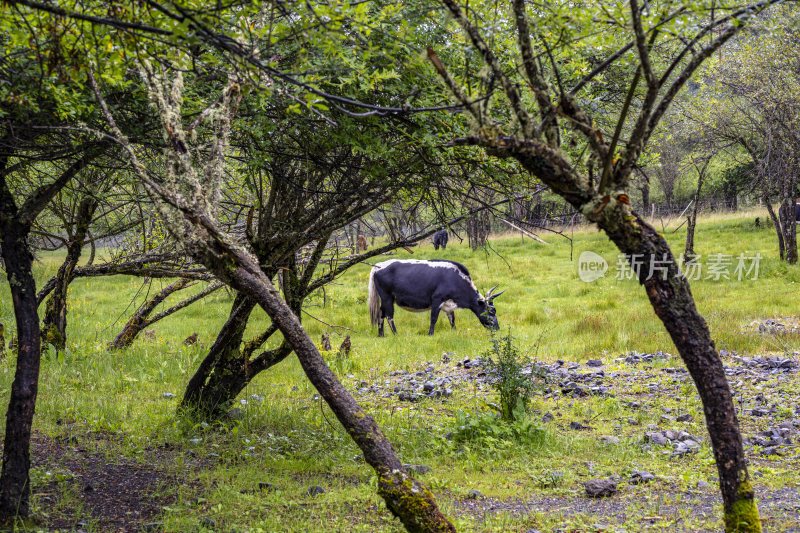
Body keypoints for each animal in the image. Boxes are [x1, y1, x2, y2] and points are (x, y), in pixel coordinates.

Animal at [368, 258, 504, 336]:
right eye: (491, 311)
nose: (497, 328)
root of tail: (378, 265)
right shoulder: (437, 299)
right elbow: (434, 318)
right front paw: (430, 334)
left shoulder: (448, 303)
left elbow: (452, 318)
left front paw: (454, 331)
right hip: (387, 297)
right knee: (389, 315)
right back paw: (396, 334)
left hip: (384, 299)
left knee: (381, 313)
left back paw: (381, 335)